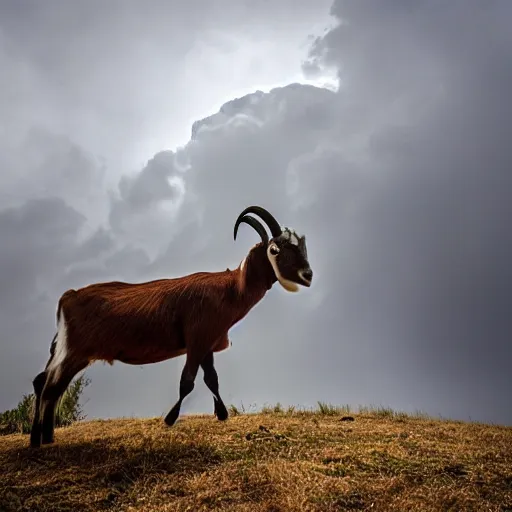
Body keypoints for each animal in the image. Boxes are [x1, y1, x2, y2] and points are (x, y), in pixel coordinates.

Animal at [30, 206, 314, 446]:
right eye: (275, 249)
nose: (308, 275)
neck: (231, 289)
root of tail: (69, 296)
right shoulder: (197, 339)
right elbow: (187, 381)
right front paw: (170, 418)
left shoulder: (207, 342)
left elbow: (212, 379)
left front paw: (221, 414)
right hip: (75, 351)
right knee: (50, 386)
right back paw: (39, 440)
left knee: (45, 382)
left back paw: (44, 438)